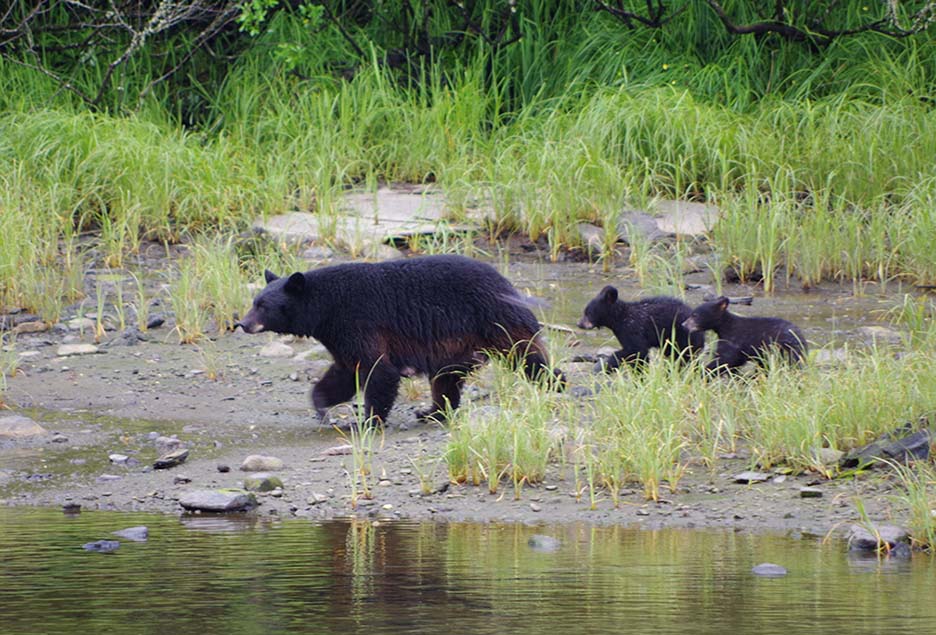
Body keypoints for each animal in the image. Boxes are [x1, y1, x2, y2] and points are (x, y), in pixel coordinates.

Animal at [236, 255, 564, 424]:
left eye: (262, 305)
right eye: (255, 301)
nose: (242, 323)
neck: (327, 308)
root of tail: (508, 284)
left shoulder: (360, 320)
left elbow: (378, 369)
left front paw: (367, 420)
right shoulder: (341, 336)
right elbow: (344, 372)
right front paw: (320, 406)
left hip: (493, 321)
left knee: (526, 355)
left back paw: (555, 383)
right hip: (456, 345)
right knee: (445, 379)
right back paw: (431, 411)